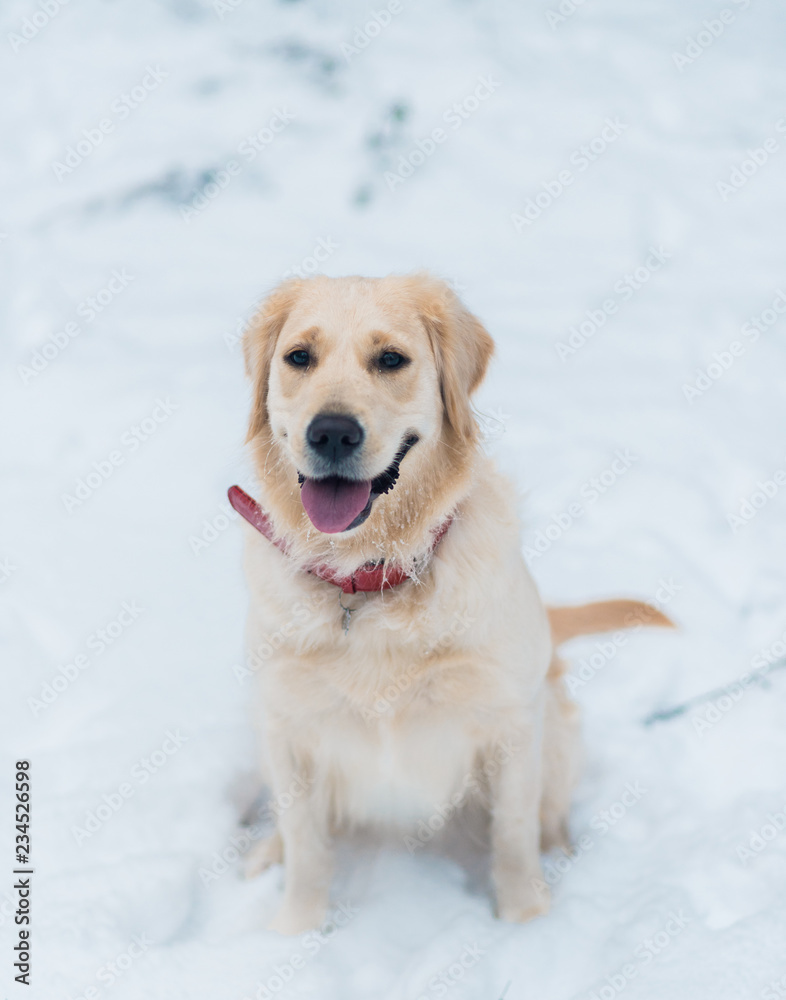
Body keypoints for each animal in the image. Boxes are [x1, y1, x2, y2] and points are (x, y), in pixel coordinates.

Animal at [231, 272, 668, 928]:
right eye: (299, 357)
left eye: (391, 359)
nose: (331, 431)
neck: (369, 578)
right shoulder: (288, 725)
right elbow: (306, 842)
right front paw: (297, 928)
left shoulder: (510, 720)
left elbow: (512, 831)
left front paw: (526, 920)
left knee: (546, 812)